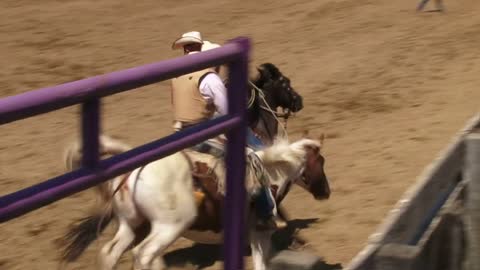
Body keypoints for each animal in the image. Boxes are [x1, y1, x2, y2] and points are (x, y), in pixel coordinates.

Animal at [59, 135, 330, 270]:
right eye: (321, 162)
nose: (326, 192)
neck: (270, 170)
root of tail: (133, 172)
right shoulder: (259, 232)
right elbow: (261, 262)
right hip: (168, 227)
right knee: (144, 255)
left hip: (131, 225)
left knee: (110, 253)